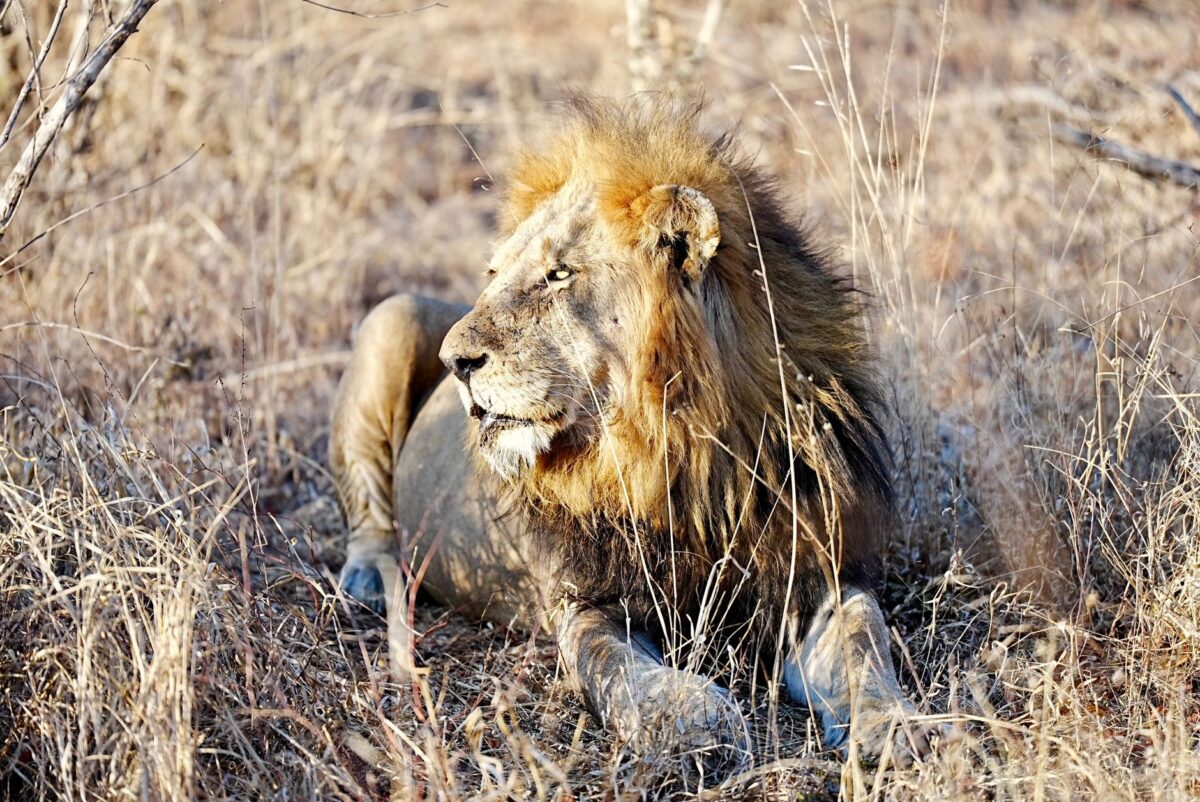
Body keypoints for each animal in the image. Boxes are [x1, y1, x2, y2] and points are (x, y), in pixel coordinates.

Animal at [330, 98, 931, 772]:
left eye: (558, 274)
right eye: (493, 272)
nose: (455, 361)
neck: (676, 451)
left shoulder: (817, 570)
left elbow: (865, 641)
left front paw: (897, 725)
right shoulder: (585, 601)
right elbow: (620, 672)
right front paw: (695, 718)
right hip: (393, 316)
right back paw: (367, 580)